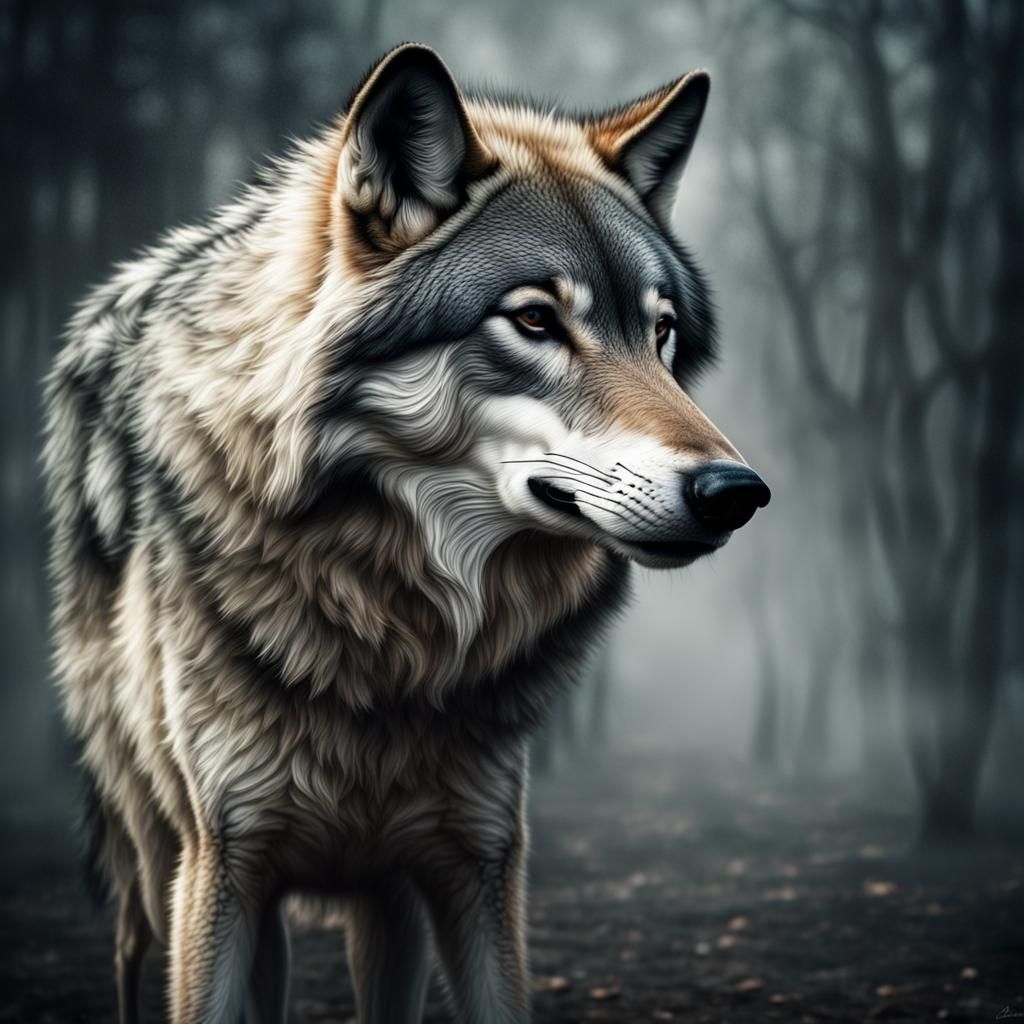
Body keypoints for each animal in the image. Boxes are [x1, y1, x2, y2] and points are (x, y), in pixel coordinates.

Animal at [43, 42, 769, 1024]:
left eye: (659, 333)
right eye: (535, 320)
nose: (737, 492)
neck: (393, 635)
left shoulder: (477, 860)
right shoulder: (225, 867)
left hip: (384, 910)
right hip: (157, 877)